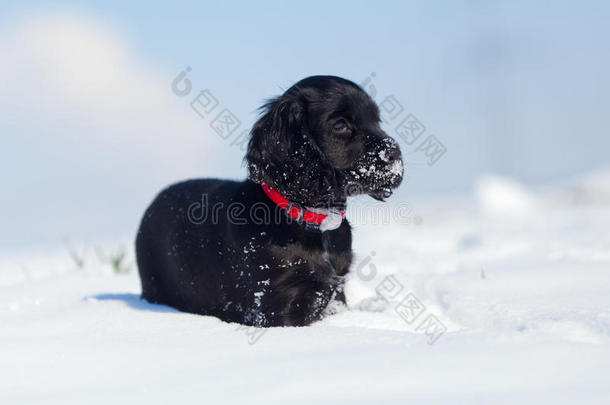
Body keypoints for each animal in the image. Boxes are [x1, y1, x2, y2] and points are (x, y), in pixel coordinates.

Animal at [135, 76, 402, 326]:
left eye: (376, 120)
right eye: (340, 125)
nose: (395, 154)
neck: (312, 221)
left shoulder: (336, 290)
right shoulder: (272, 300)